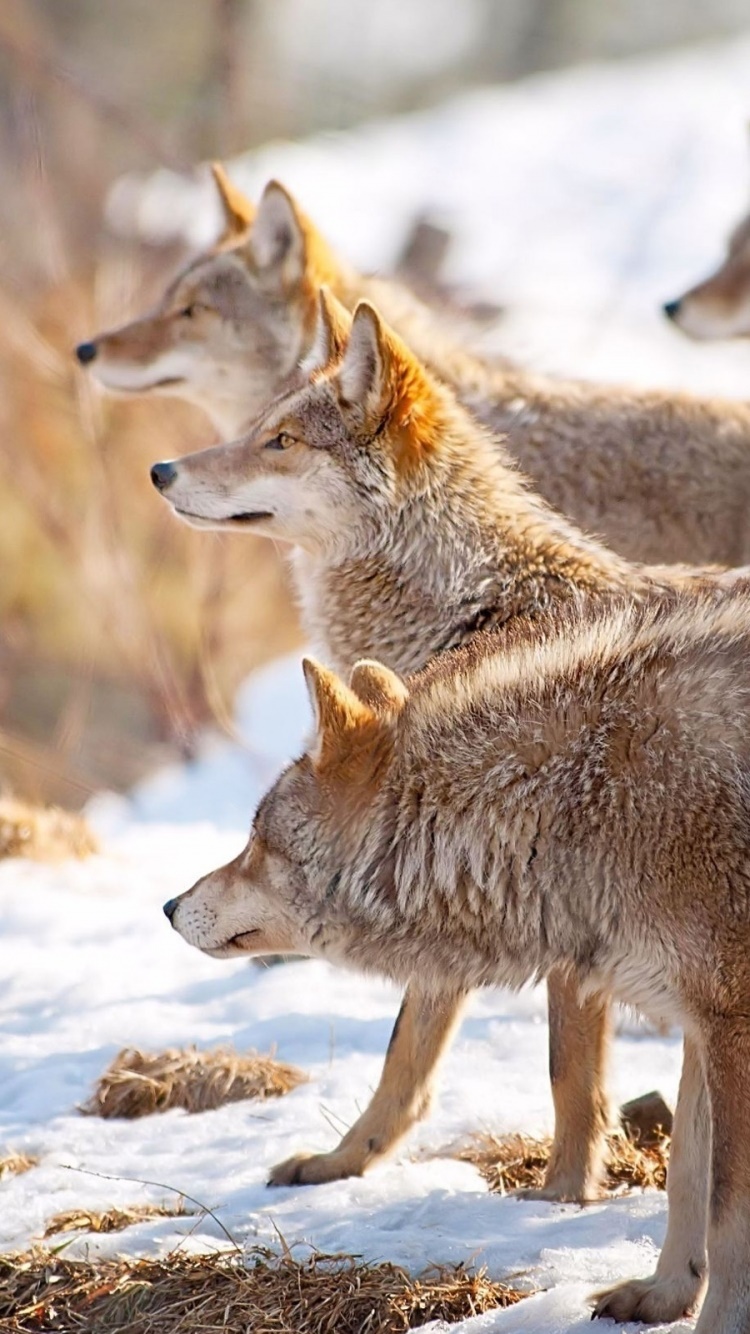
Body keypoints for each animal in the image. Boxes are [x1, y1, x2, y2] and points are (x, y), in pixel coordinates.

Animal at [150, 293, 744, 1217]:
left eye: (280, 440)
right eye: (256, 427)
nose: (162, 471)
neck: (477, 612)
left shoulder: (543, 909)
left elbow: (560, 1077)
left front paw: (562, 1195)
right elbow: (410, 1060)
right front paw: (342, 1164)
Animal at [164, 587, 750, 1333]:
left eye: (256, 843)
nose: (170, 904)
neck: (581, 794)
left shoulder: (730, 1025)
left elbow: (727, 1216)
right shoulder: (703, 1022)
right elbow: (685, 1182)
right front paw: (664, 1295)